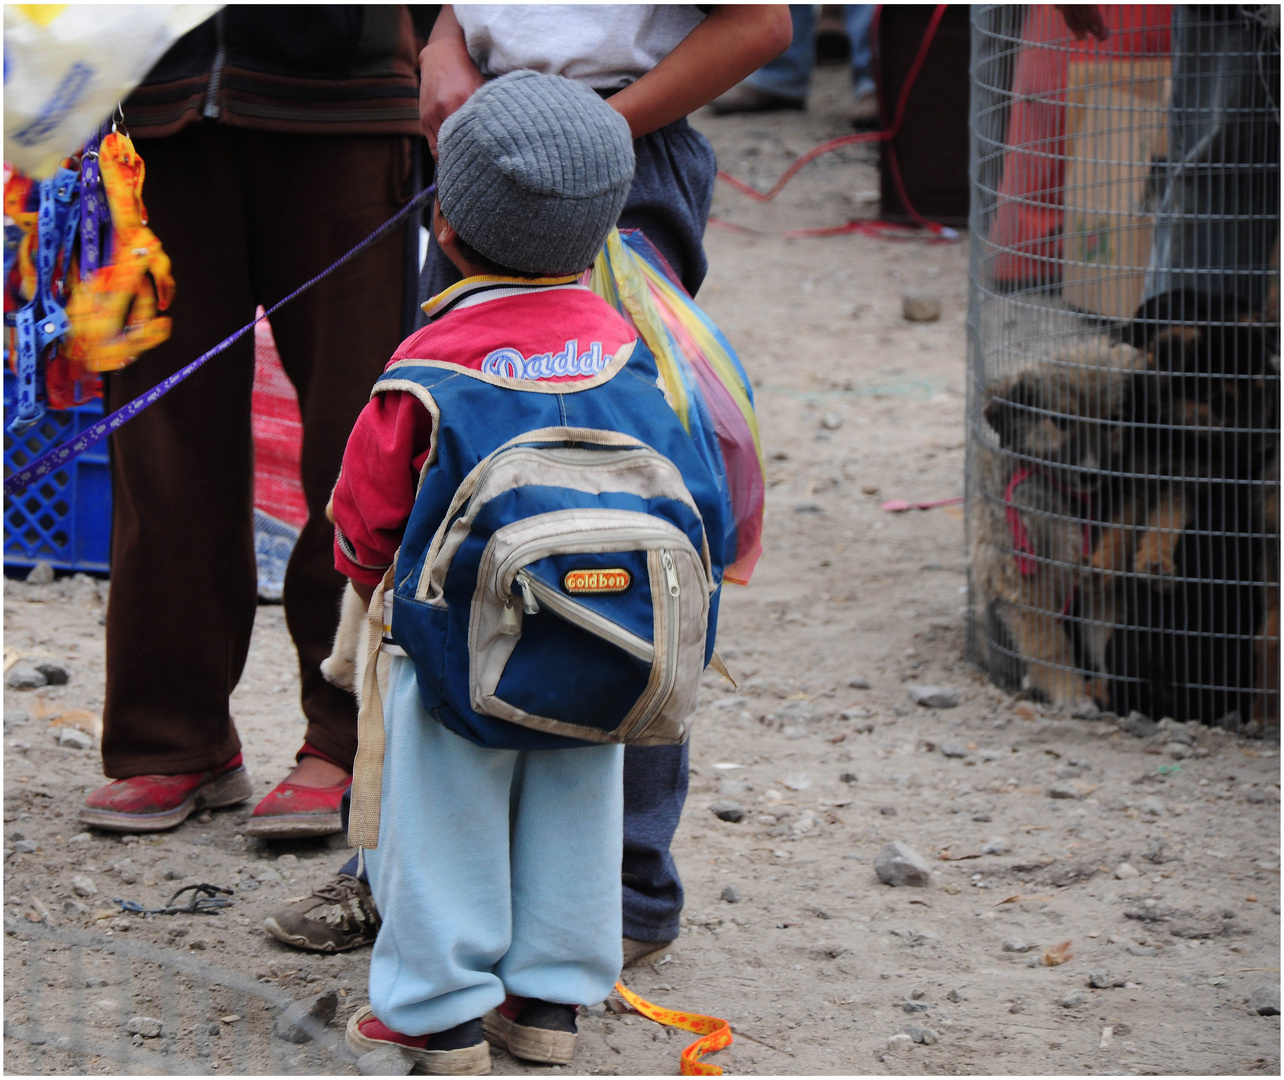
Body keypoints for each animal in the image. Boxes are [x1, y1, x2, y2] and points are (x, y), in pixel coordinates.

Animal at [965, 4, 1278, 734]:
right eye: (1055, 424)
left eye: (1109, 426)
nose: (1257, 452)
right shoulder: (1028, 571)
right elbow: (1050, 637)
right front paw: (1069, 690)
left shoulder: (1154, 504)